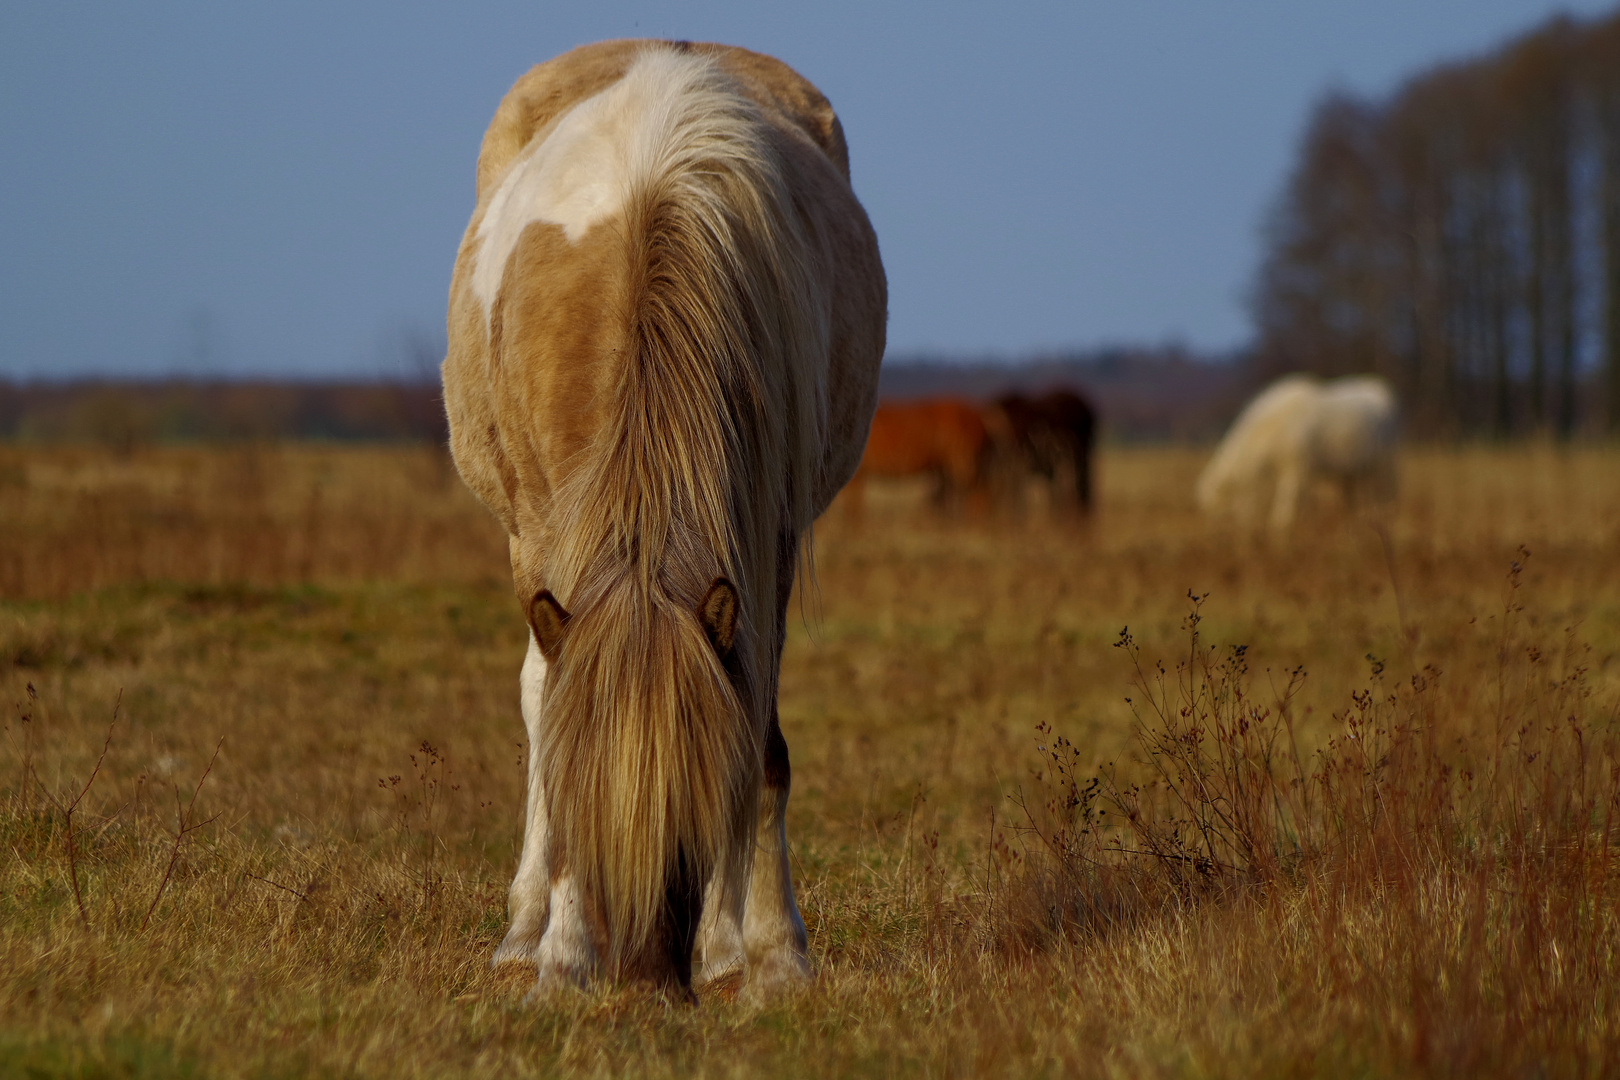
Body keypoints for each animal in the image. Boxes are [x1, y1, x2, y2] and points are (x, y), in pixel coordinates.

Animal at [443, 38, 887, 997]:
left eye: (690, 815)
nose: (646, 982)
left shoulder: (766, 547)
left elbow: (761, 746)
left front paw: (770, 954)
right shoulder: (543, 543)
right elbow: (558, 724)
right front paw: (561, 955)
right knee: (535, 694)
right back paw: (526, 928)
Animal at [842, 399, 991, 518]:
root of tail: (979, 420)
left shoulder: (857, 475)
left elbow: (853, 509)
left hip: (962, 462)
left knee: (977, 490)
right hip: (948, 466)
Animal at [1198, 375, 1399, 537]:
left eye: (1218, 513)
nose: (1215, 535)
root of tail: (1380, 388)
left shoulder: (1297, 469)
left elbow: (1288, 502)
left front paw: (1282, 528)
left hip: (1386, 463)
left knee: (1387, 493)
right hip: (1350, 471)